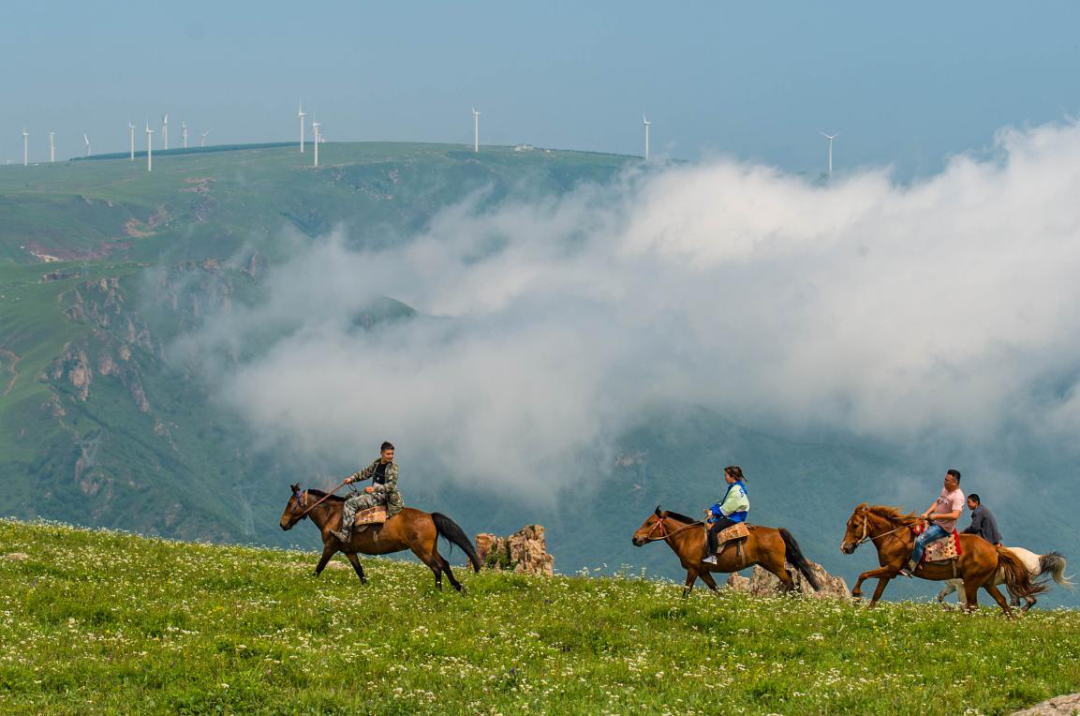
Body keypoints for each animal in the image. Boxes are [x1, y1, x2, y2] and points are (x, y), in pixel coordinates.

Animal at [280, 483, 479, 591]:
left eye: (290, 503)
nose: (282, 524)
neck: (333, 515)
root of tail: (430, 516)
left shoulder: (330, 547)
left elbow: (319, 568)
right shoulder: (350, 551)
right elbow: (360, 572)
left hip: (421, 550)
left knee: (437, 567)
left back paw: (438, 592)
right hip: (431, 548)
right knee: (444, 564)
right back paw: (458, 588)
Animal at [630, 507, 816, 600]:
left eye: (649, 523)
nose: (635, 538)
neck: (688, 537)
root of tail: (777, 531)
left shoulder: (692, 569)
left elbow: (686, 591)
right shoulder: (703, 571)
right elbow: (715, 589)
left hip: (774, 565)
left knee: (789, 580)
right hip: (769, 564)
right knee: (790, 578)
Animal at [833, 503, 1045, 617]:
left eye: (855, 525)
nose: (845, 547)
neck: (894, 536)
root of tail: (993, 549)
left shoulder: (891, 569)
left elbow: (863, 575)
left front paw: (856, 595)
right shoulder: (888, 571)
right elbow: (877, 595)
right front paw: (866, 610)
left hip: (973, 582)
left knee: (975, 606)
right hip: (985, 582)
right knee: (1002, 601)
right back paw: (1012, 621)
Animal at [937, 548, 1071, 609]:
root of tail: (1037, 557)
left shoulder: (961, 586)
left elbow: (963, 604)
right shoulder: (952, 586)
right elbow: (940, 597)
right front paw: (948, 609)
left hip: (1016, 585)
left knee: (1028, 600)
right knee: (1016, 602)